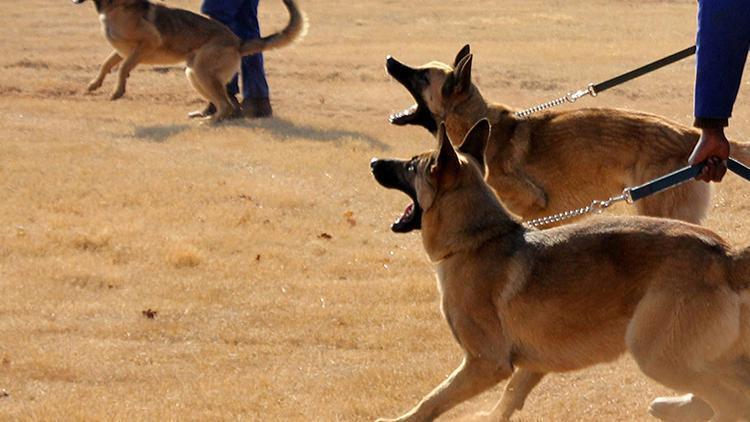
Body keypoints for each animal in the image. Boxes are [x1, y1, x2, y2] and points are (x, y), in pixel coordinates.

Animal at [70, 0, 306, 122]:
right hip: (194, 73)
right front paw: (95, 84)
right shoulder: (122, 50)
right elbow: (106, 64)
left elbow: (122, 69)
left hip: (202, 71)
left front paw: (118, 91)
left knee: (226, 104)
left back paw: (210, 121)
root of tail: (238, 41)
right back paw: (212, 115)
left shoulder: (146, 43)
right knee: (228, 104)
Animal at [374, 118, 750, 422]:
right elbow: (512, 393)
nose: (375, 162)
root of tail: (726, 256)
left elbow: (433, 399)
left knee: (731, 402)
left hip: (659, 355)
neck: (478, 239)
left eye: (411, 166)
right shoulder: (531, 362)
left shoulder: (484, 363)